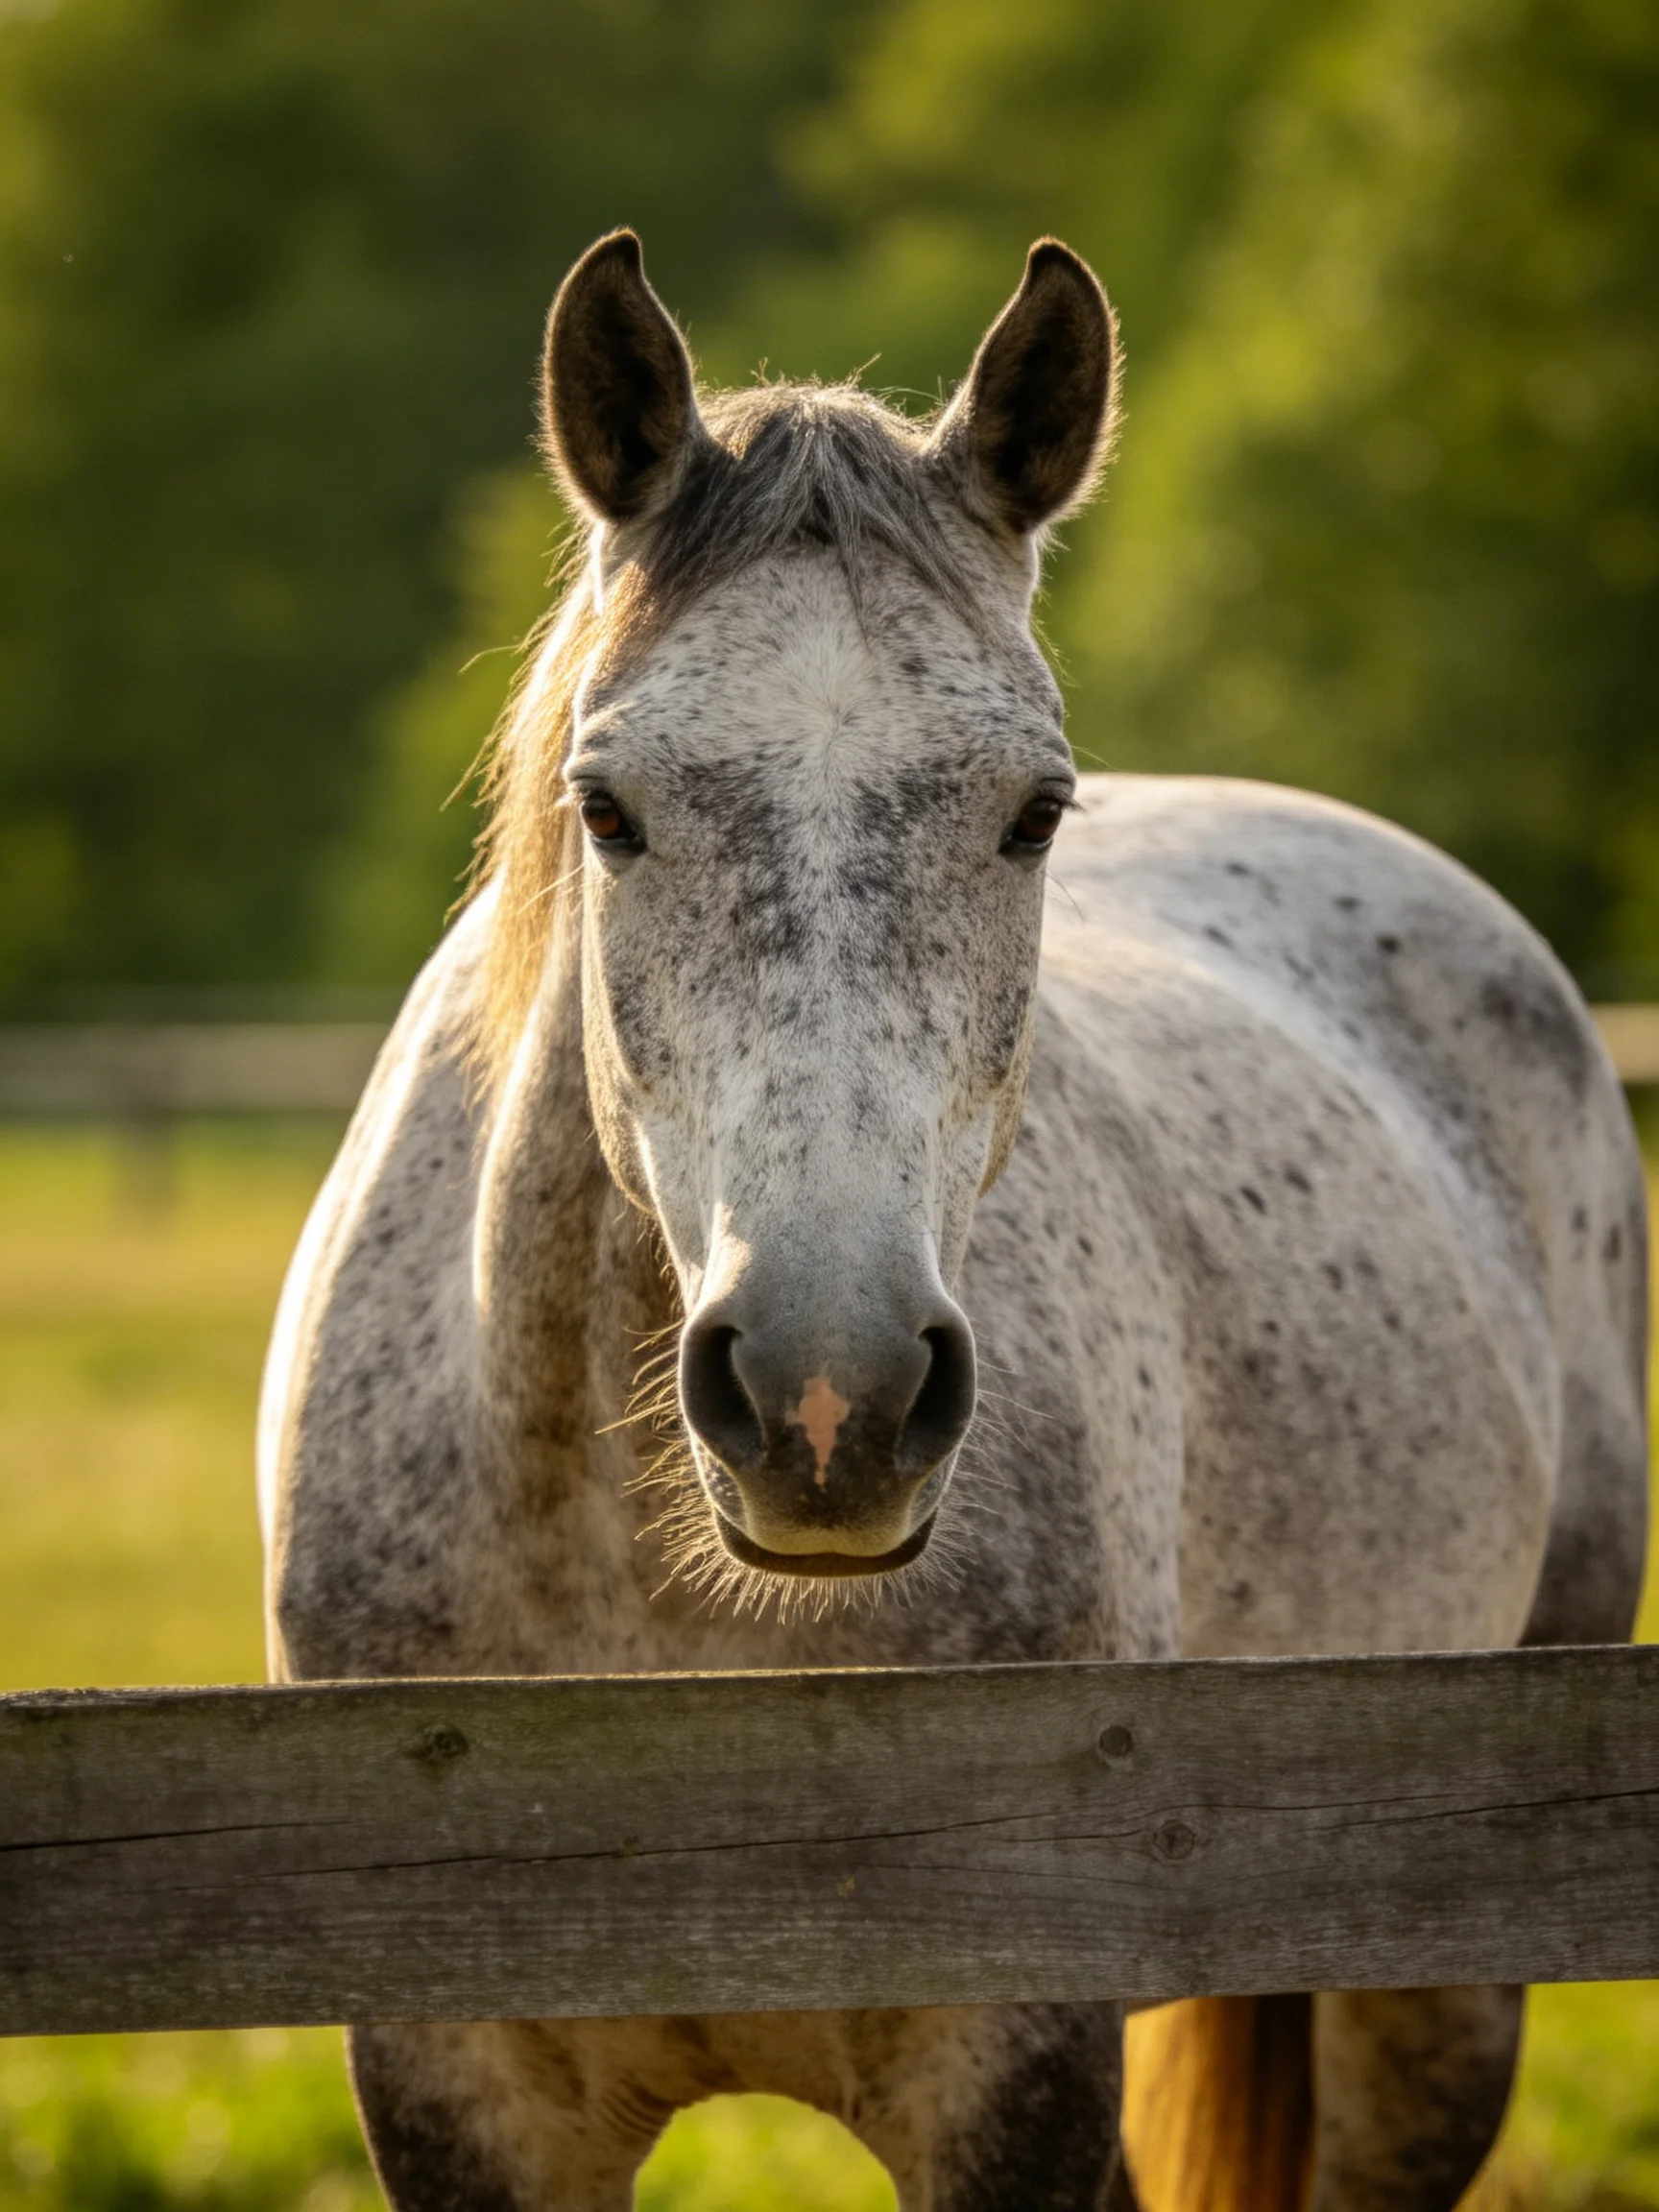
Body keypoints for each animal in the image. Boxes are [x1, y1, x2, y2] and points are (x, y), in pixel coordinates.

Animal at [258, 230, 1649, 2212]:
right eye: (605, 804)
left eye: (1034, 812)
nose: (825, 1398)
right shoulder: (461, 2092)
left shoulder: (1014, 2066)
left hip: (1435, 2000)